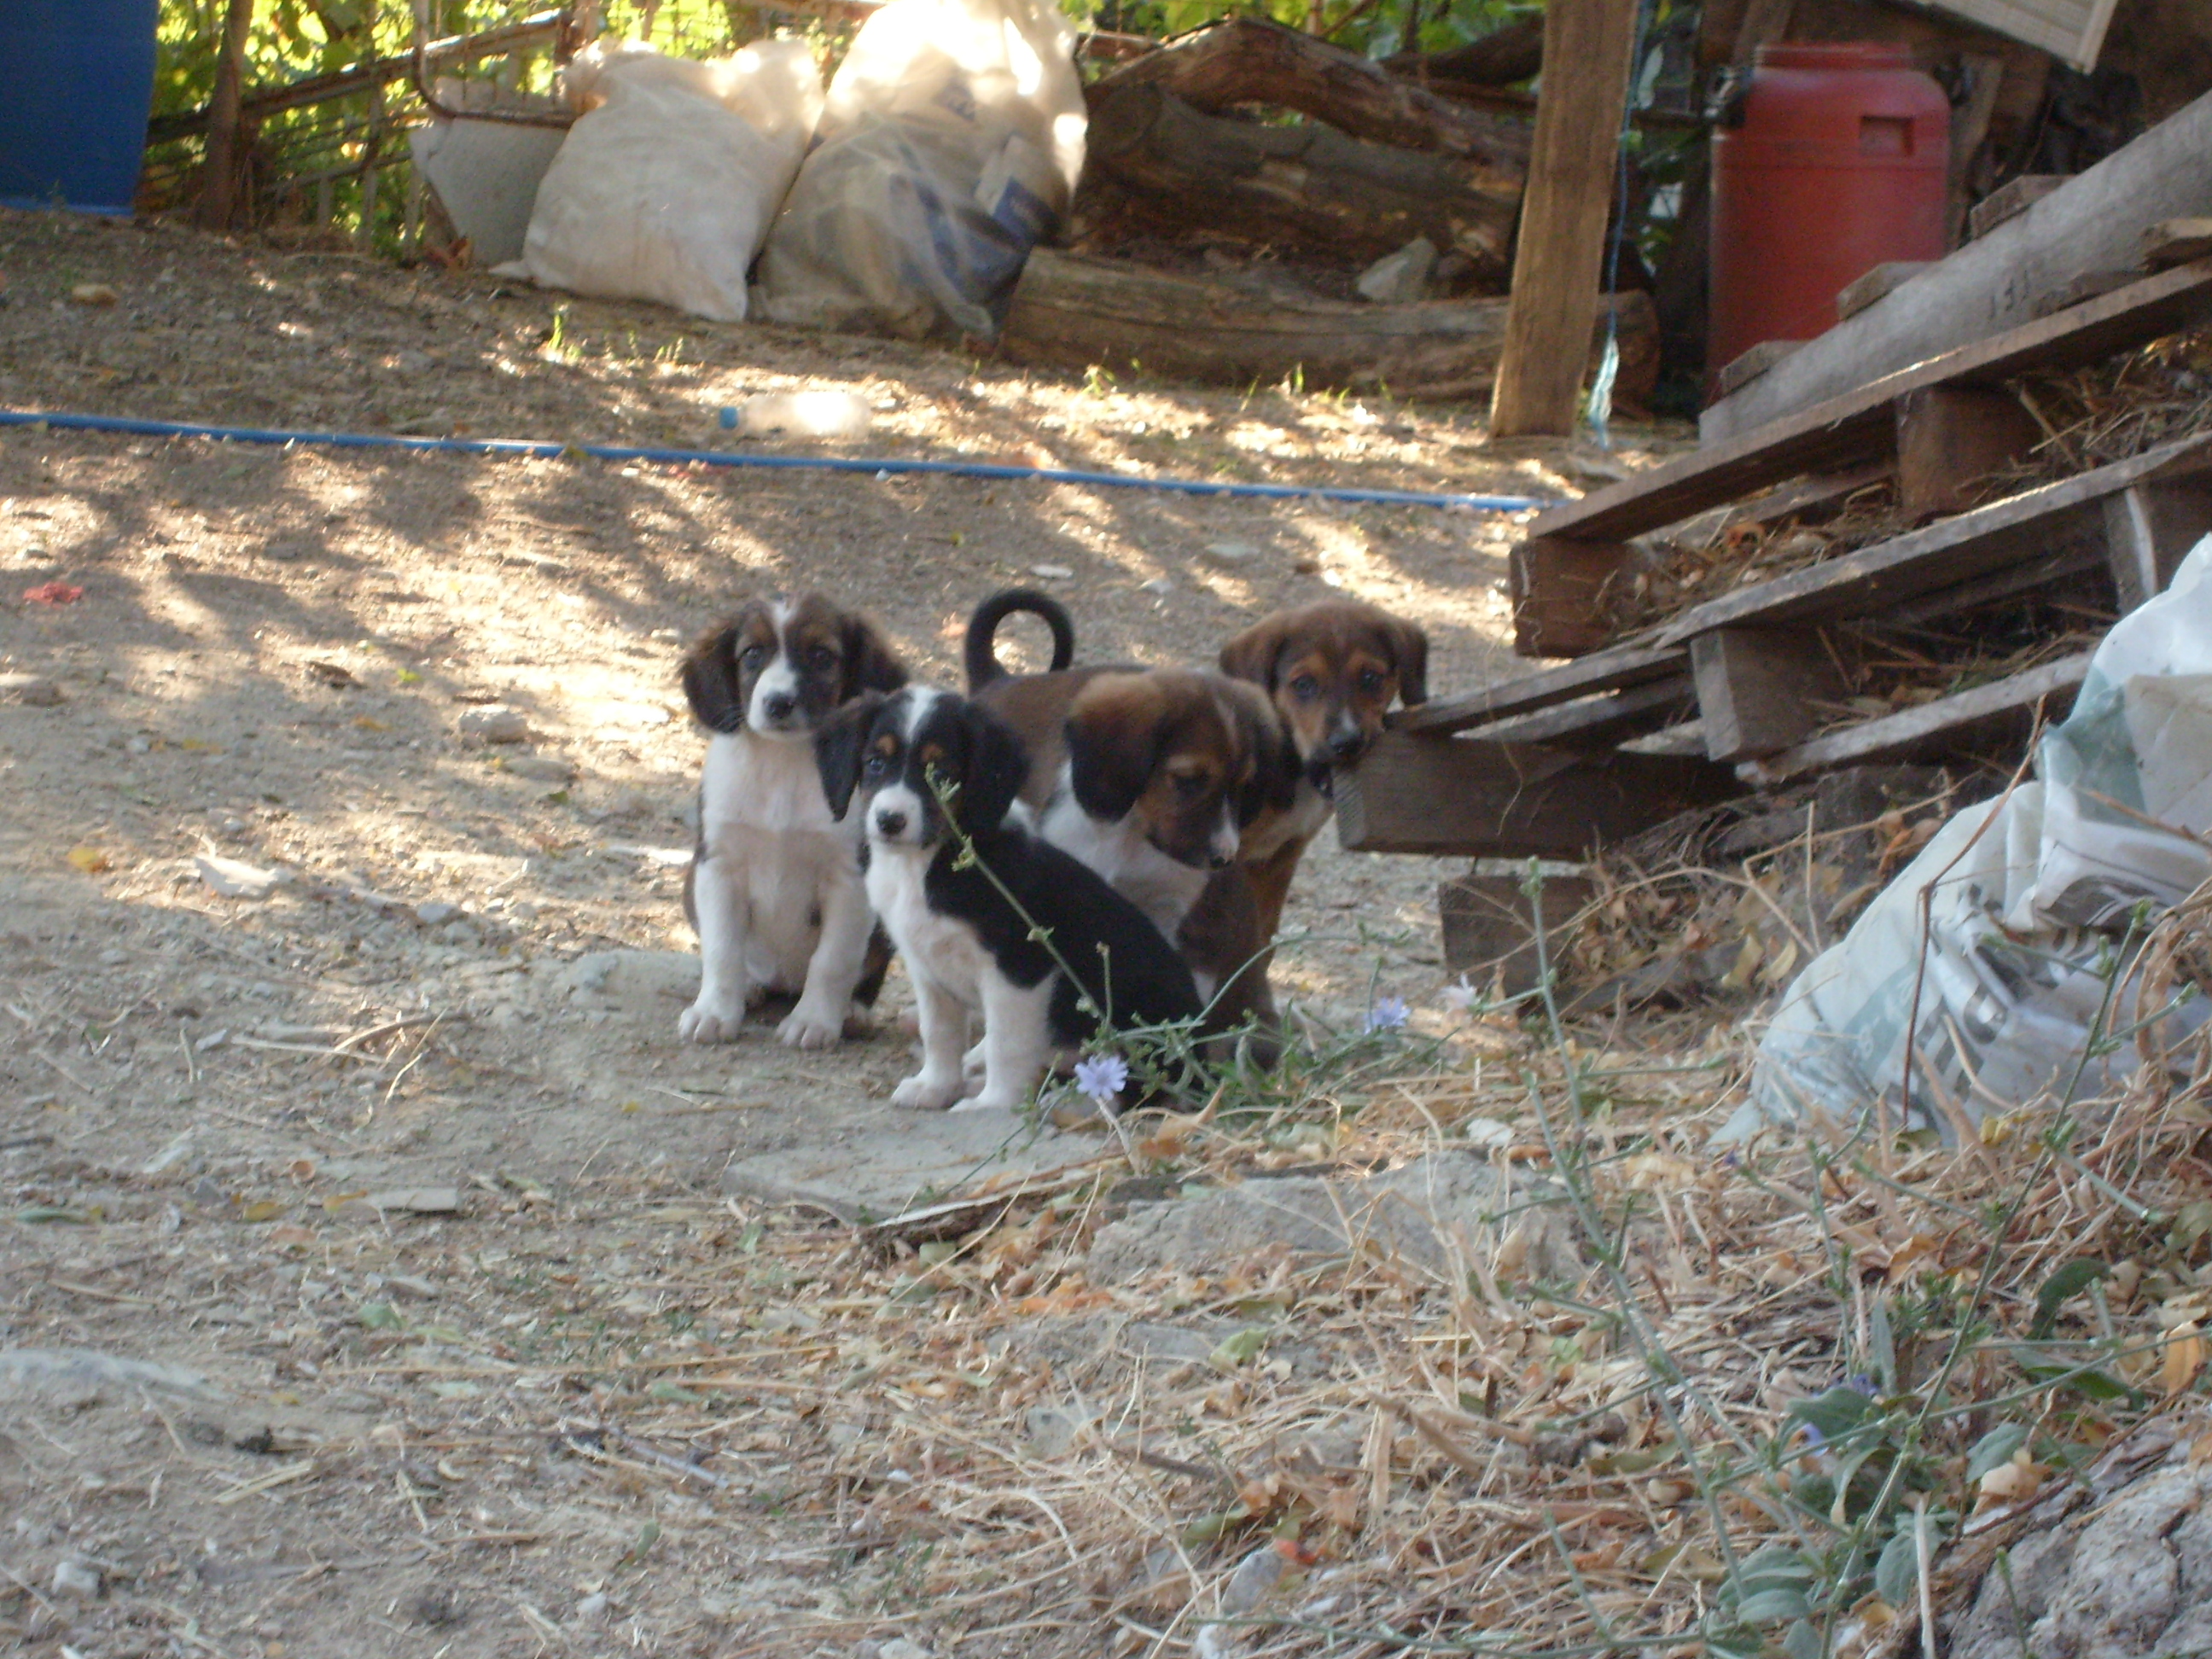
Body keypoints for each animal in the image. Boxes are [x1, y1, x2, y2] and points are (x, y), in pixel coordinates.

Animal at [676, 594, 907, 1049]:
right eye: (752, 654)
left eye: (821, 655)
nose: (778, 703)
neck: (783, 763)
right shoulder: (718, 867)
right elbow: (721, 948)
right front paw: (714, 1011)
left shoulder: (850, 876)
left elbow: (833, 960)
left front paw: (814, 1021)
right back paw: (750, 986)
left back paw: (853, 1012)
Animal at [816, 686, 1202, 1113]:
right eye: (875, 762)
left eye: (941, 771)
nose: (889, 820)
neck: (924, 863)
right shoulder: (926, 966)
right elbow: (940, 1032)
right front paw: (935, 1087)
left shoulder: (1017, 969)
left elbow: (1007, 1044)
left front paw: (992, 1105)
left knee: (1133, 1088)